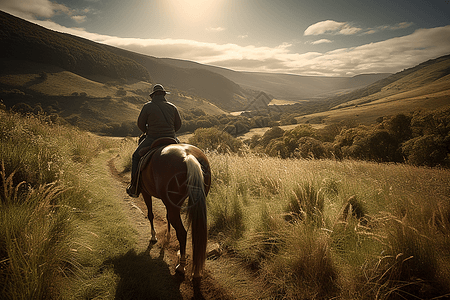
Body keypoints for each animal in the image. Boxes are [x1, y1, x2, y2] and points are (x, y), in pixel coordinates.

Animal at [139, 141, 211, 278]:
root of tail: (188, 156)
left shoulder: (146, 192)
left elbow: (150, 214)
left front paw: (153, 236)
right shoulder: (168, 203)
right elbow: (165, 216)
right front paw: (167, 236)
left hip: (173, 204)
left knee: (182, 232)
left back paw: (181, 266)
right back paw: (196, 271)